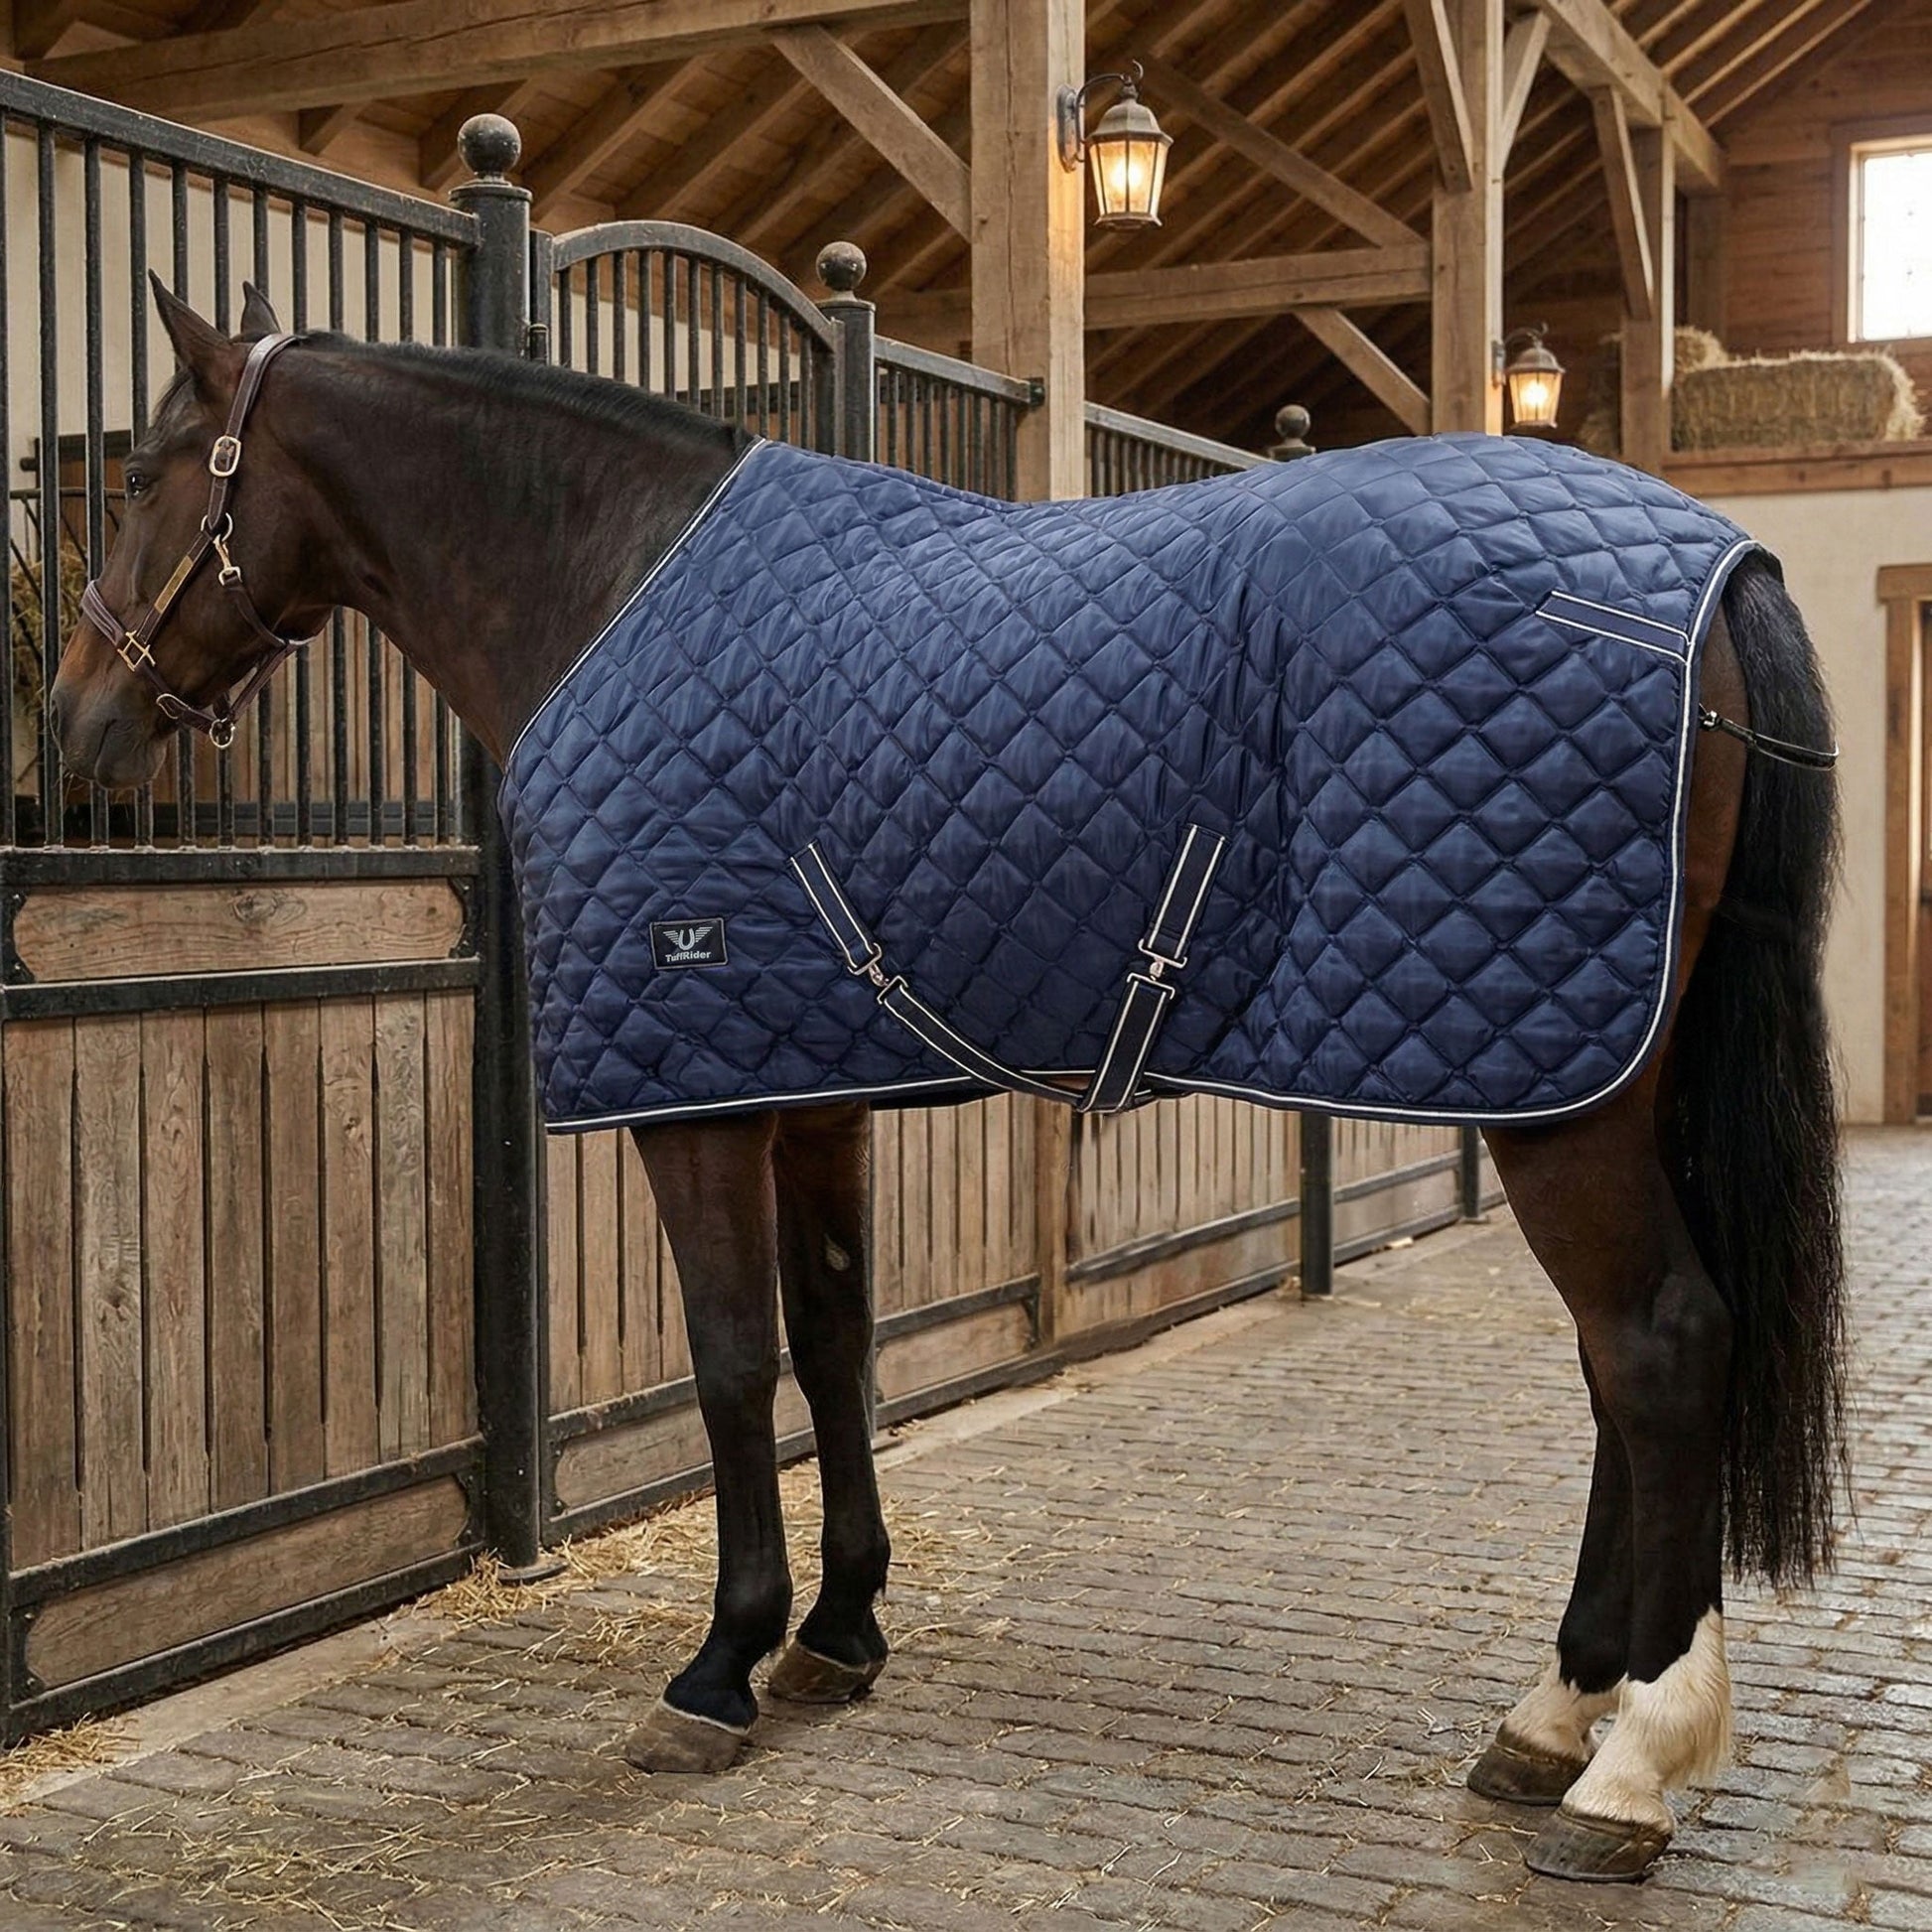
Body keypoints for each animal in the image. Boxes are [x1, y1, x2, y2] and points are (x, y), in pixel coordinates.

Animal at [49, 282, 1844, 1885]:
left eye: (136, 477)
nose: (74, 721)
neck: (609, 582)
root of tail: (1714, 568)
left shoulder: (696, 1098)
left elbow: (731, 1361)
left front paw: (718, 1665)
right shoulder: (811, 1079)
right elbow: (836, 1344)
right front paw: (838, 1630)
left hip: (1559, 1094)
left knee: (1656, 1344)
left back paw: (1627, 1764)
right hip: (1590, 1076)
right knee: (1618, 1367)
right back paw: (1553, 1714)